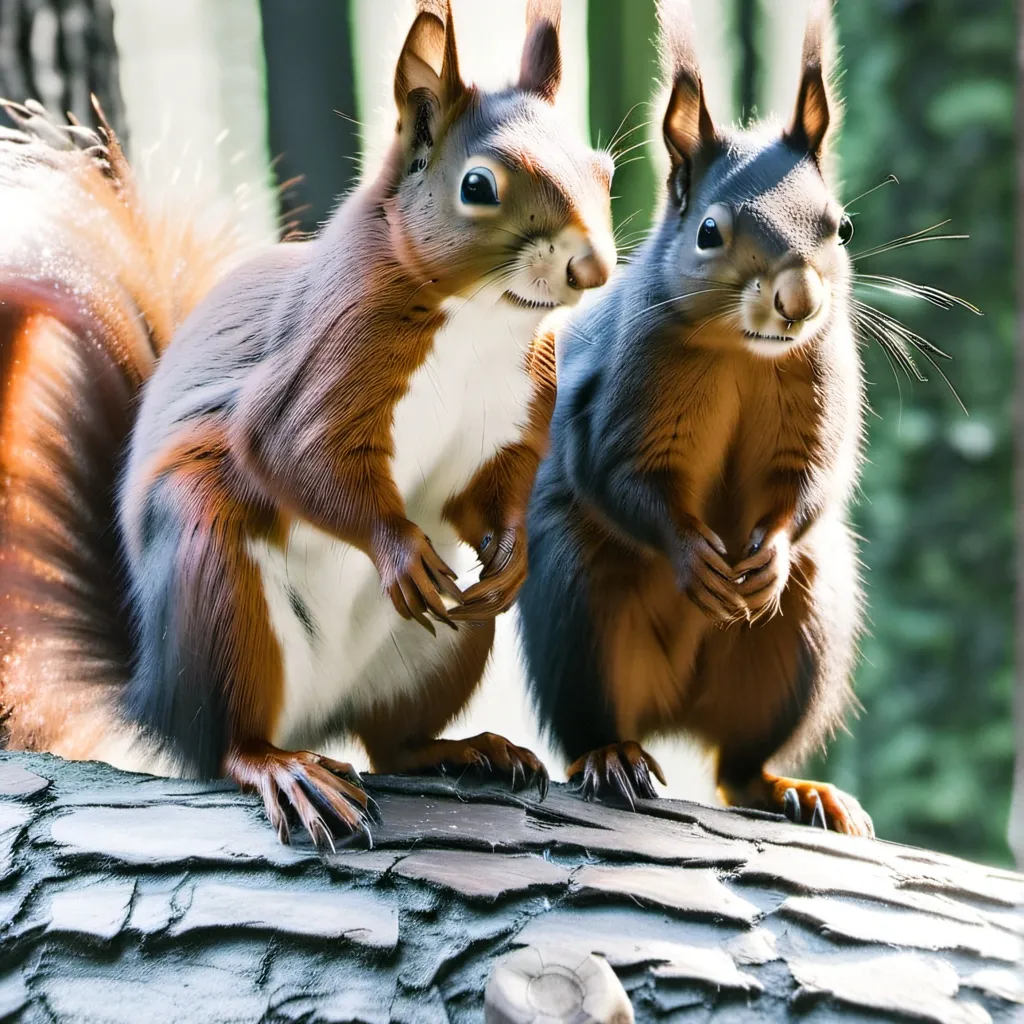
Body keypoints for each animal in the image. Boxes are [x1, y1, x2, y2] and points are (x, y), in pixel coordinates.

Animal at [0, 0, 616, 847]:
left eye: (604, 170)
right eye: (478, 185)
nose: (594, 269)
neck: (479, 320)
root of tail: (154, 695)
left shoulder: (516, 408)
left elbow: (491, 490)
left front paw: (510, 557)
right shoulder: (326, 358)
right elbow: (293, 454)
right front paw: (397, 550)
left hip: (445, 645)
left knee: (391, 743)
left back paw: (466, 747)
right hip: (218, 585)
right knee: (227, 743)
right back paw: (280, 768)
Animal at [517, 0, 875, 837]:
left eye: (841, 227)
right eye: (708, 232)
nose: (799, 302)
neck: (744, 356)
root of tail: (671, 712)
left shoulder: (823, 390)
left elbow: (815, 481)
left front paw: (766, 554)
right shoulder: (614, 398)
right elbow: (619, 478)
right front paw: (692, 556)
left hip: (802, 641)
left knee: (737, 768)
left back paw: (792, 789)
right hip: (578, 612)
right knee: (593, 722)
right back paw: (611, 757)